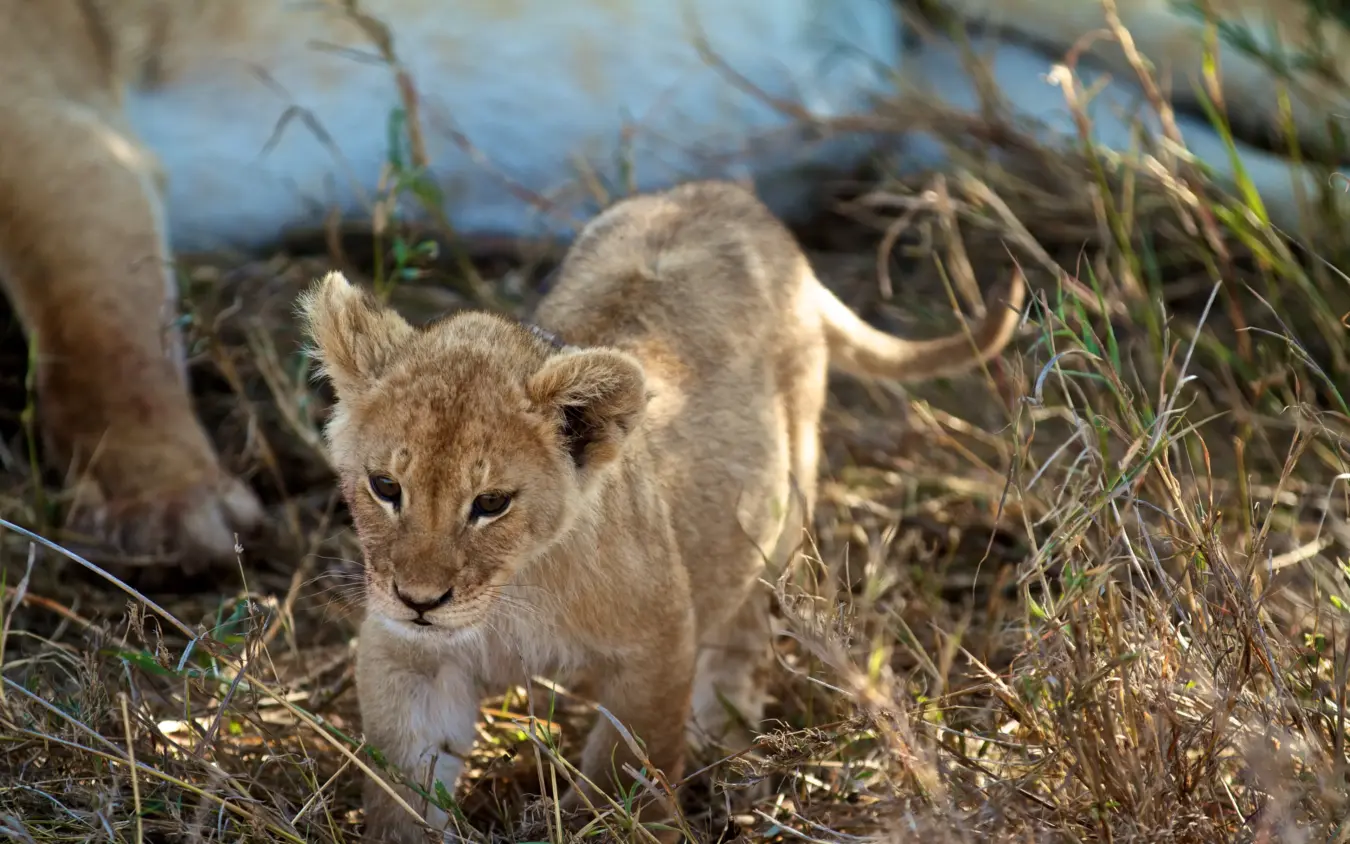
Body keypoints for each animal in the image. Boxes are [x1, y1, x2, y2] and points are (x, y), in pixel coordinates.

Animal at [297, 179, 1026, 841]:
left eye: (491, 504)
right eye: (386, 487)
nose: (419, 601)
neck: (514, 593)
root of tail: (730, 196)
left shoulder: (657, 645)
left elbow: (626, 772)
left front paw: (620, 822)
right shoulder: (407, 658)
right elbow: (404, 790)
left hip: (779, 513)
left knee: (745, 627)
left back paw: (721, 737)